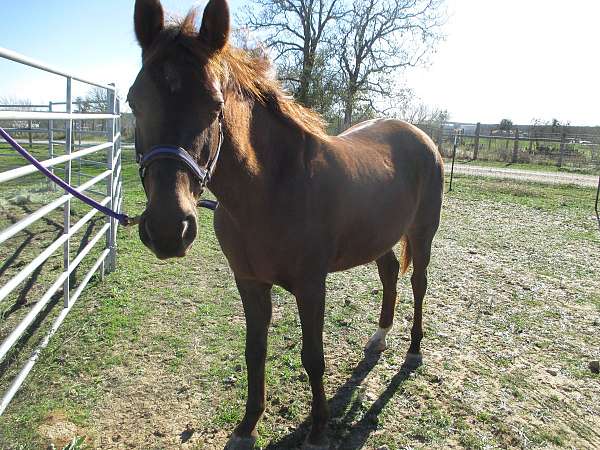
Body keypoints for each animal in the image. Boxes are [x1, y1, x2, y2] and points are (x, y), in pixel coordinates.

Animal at [129, 0, 442, 446]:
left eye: (215, 105)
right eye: (134, 102)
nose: (169, 229)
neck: (271, 189)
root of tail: (421, 137)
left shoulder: (311, 286)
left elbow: (313, 357)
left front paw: (318, 427)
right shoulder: (249, 283)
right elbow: (254, 351)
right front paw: (247, 426)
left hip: (422, 233)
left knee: (418, 284)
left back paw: (414, 350)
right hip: (380, 239)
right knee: (389, 276)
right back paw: (378, 339)